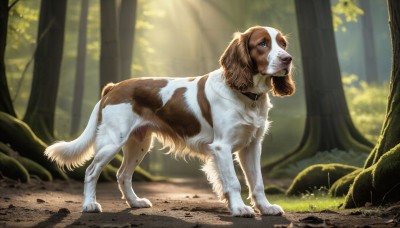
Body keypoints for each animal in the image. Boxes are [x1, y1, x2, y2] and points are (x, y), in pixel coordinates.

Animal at [45, 25, 296, 217]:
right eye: (262, 44)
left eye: (283, 44)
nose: (288, 59)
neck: (246, 95)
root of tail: (114, 87)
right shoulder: (222, 146)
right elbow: (233, 182)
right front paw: (239, 209)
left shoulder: (252, 146)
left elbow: (257, 182)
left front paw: (266, 208)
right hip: (111, 141)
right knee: (91, 171)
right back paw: (89, 205)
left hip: (139, 143)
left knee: (123, 174)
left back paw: (135, 202)